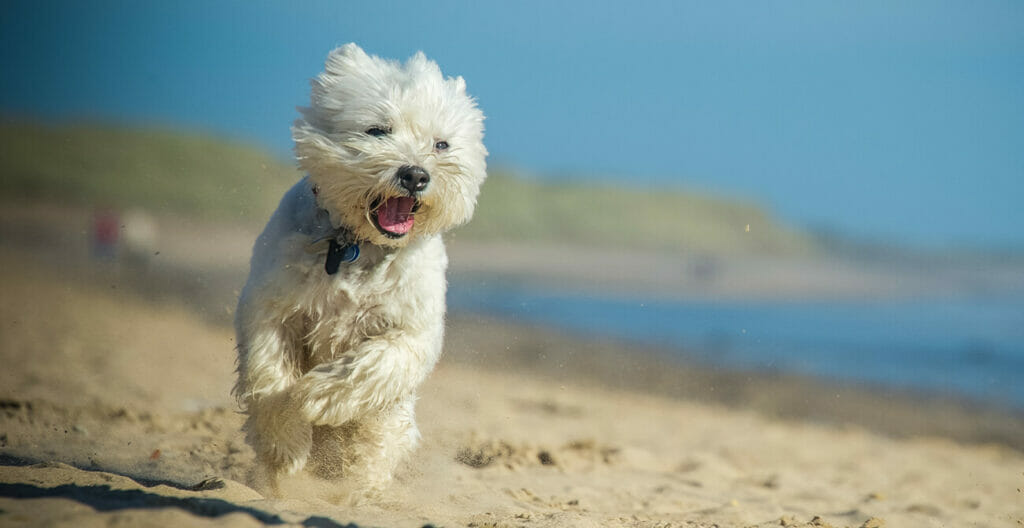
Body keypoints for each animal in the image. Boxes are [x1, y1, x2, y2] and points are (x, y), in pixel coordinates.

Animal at [234, 44, 485, 495]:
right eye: (377, 130)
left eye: (442, 144)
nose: (415, 175)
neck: (358, 246)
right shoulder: (272, 307)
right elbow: (269, 372)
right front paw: (286, 444)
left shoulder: (412, 328)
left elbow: (376, 364)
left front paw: (317, 397)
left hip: (392, 425)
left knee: (375, 445)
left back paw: (357, 490)